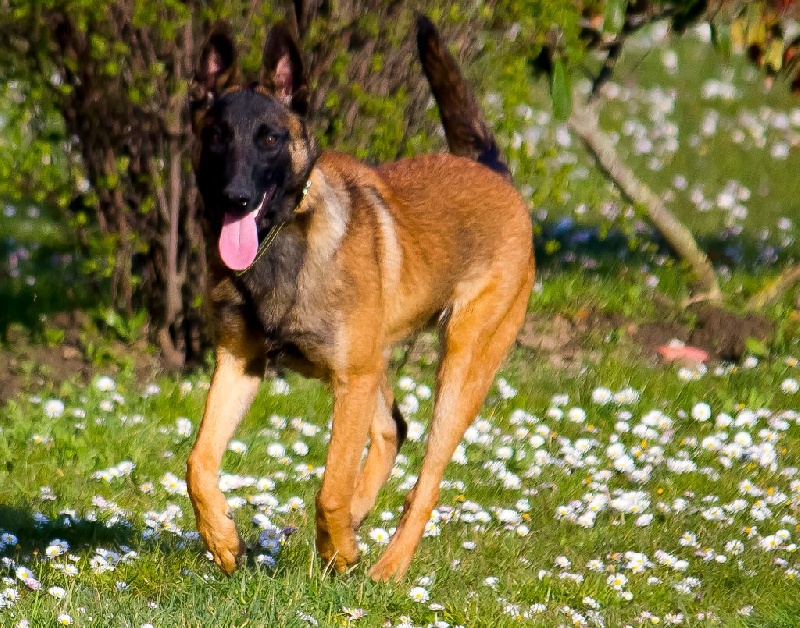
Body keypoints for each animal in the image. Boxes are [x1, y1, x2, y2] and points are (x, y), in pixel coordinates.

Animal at [187, 15, 536, 584]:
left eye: (269, 138)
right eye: (217, 136)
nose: (235, 198)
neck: (280, 240)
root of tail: (494, 174)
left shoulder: (350, 378)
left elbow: (329, 487)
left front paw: (341, 553)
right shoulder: (241, 364)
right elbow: (198, 462)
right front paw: (222, 539)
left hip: (457, 366)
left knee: (425, 480)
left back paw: (385, 567)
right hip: (372, 366)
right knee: (393, 428)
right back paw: (354, 523)